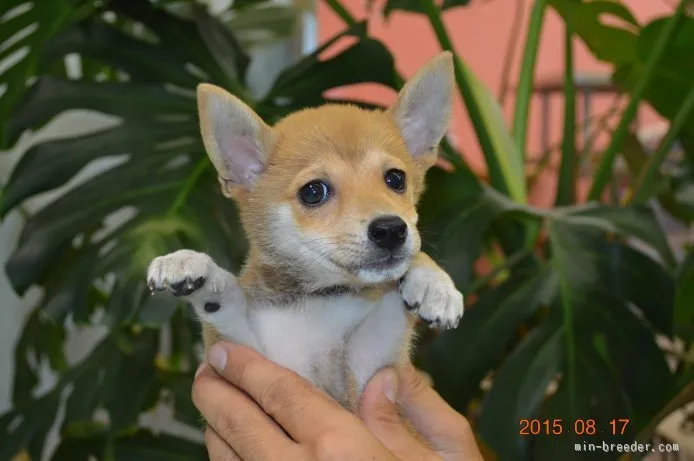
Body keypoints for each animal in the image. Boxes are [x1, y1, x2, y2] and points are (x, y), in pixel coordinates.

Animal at [145, 51, 462, 410]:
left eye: (396, 179)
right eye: (313, 192)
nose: (391, 230)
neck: (320, 299)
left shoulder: (368, 368)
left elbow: (394, 302)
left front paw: (434, 284)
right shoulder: (245, 352)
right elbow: (225, 311)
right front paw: (190, 266)